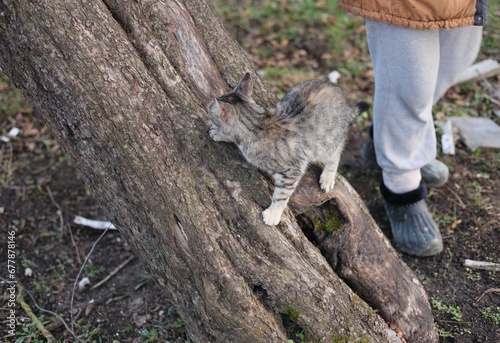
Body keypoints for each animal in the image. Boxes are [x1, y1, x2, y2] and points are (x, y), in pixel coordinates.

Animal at [208, 73, 360, 226]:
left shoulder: (292, 171)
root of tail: (340, 93)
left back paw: (328, 176)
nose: (208, 105)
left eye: (210, 110)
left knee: (337, 151)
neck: (257, 124)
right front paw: (219, 134)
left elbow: (281, 195)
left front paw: (273, 213)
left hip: (327, 142)